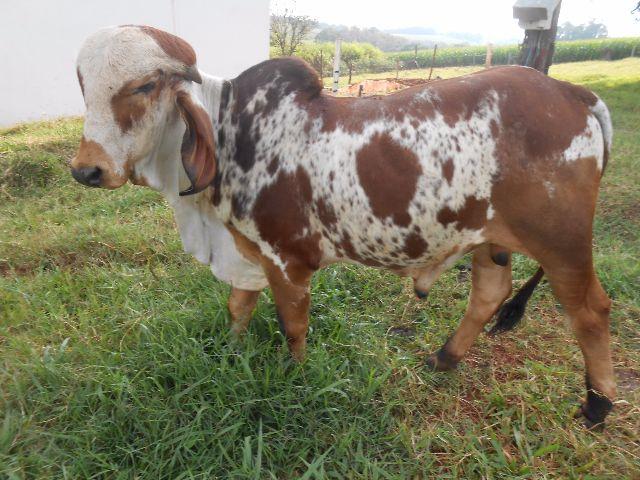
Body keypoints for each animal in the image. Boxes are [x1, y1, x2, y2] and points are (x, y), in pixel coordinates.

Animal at [70, 25, 616, 428]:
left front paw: (294, 375)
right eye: (83, 88)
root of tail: (574, 93)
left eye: (144, 86)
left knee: (591, 311)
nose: (86, 170)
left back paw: (598, 403)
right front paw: (230, 352)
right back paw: (444, 357)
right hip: (488, 237)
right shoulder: (245, 250)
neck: (233, 132)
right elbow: (238, 308)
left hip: (562, 243)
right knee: (490, 293)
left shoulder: (287, 259)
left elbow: (292, 325)